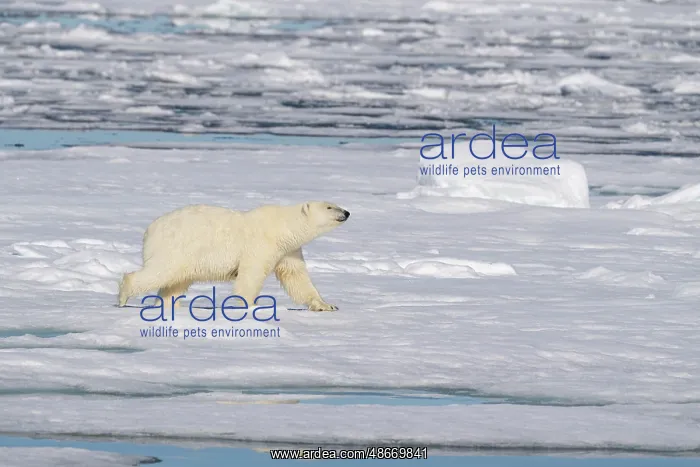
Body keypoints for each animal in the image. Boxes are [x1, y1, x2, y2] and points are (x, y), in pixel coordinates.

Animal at [118, 201, 350, 312]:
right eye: (329, 206)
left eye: (335, 204)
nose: (346, 212)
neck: (282, 227)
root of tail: (150, 230)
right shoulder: (261, 244)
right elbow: (251, 274)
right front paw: (250, 304)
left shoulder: (288, 251)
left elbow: (297, 278)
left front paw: (326, 305)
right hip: (175, 247)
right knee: (162, 271)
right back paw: (124, 295)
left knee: (176, 281)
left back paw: (169, 305)